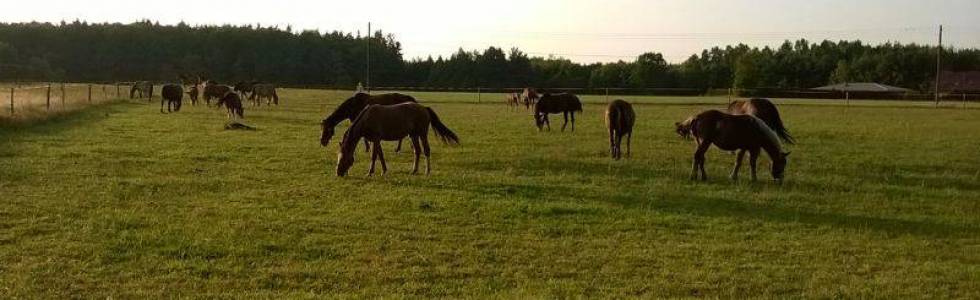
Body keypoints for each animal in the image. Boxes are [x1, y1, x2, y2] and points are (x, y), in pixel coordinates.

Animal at [334, 103, 462, 177]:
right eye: (338, 156)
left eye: (344, 158)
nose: (338, 173)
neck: (366, 119)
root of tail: (424, 108)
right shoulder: (376, 140)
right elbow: (380, 155)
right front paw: (384, 171)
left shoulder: (376, 138)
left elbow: (374, 156)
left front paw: (370, 172)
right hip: (413, 135)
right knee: (417, 151)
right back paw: (414, 170)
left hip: (422, 134)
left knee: (426, 150)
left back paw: (427, 171)